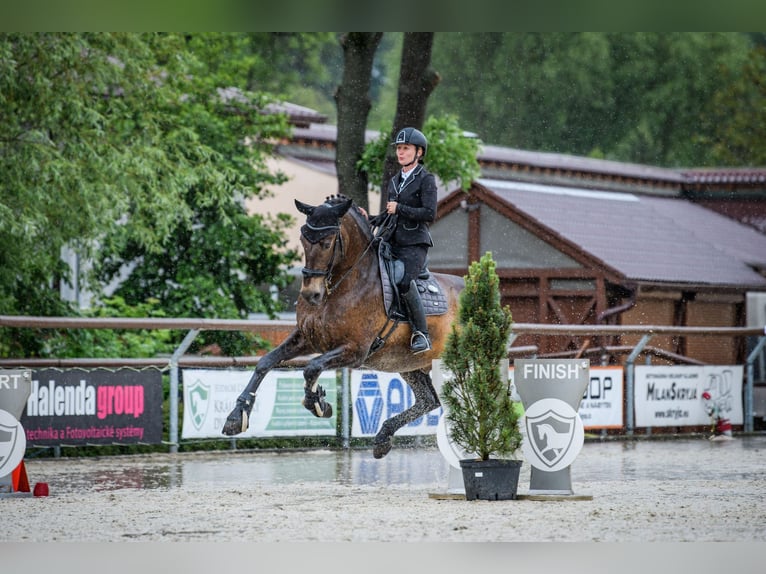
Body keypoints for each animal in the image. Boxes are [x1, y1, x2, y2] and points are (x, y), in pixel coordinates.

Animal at [219, 194, 464, 460]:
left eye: (327, 243)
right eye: (303, 239)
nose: (310, 294)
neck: (340, 285)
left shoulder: (355, 351)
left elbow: (311, 368)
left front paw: (318, 402)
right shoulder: (308, 338)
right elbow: (266, 362)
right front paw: (236, 416)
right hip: (409, 363)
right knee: (429, 400)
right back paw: (383, 438)